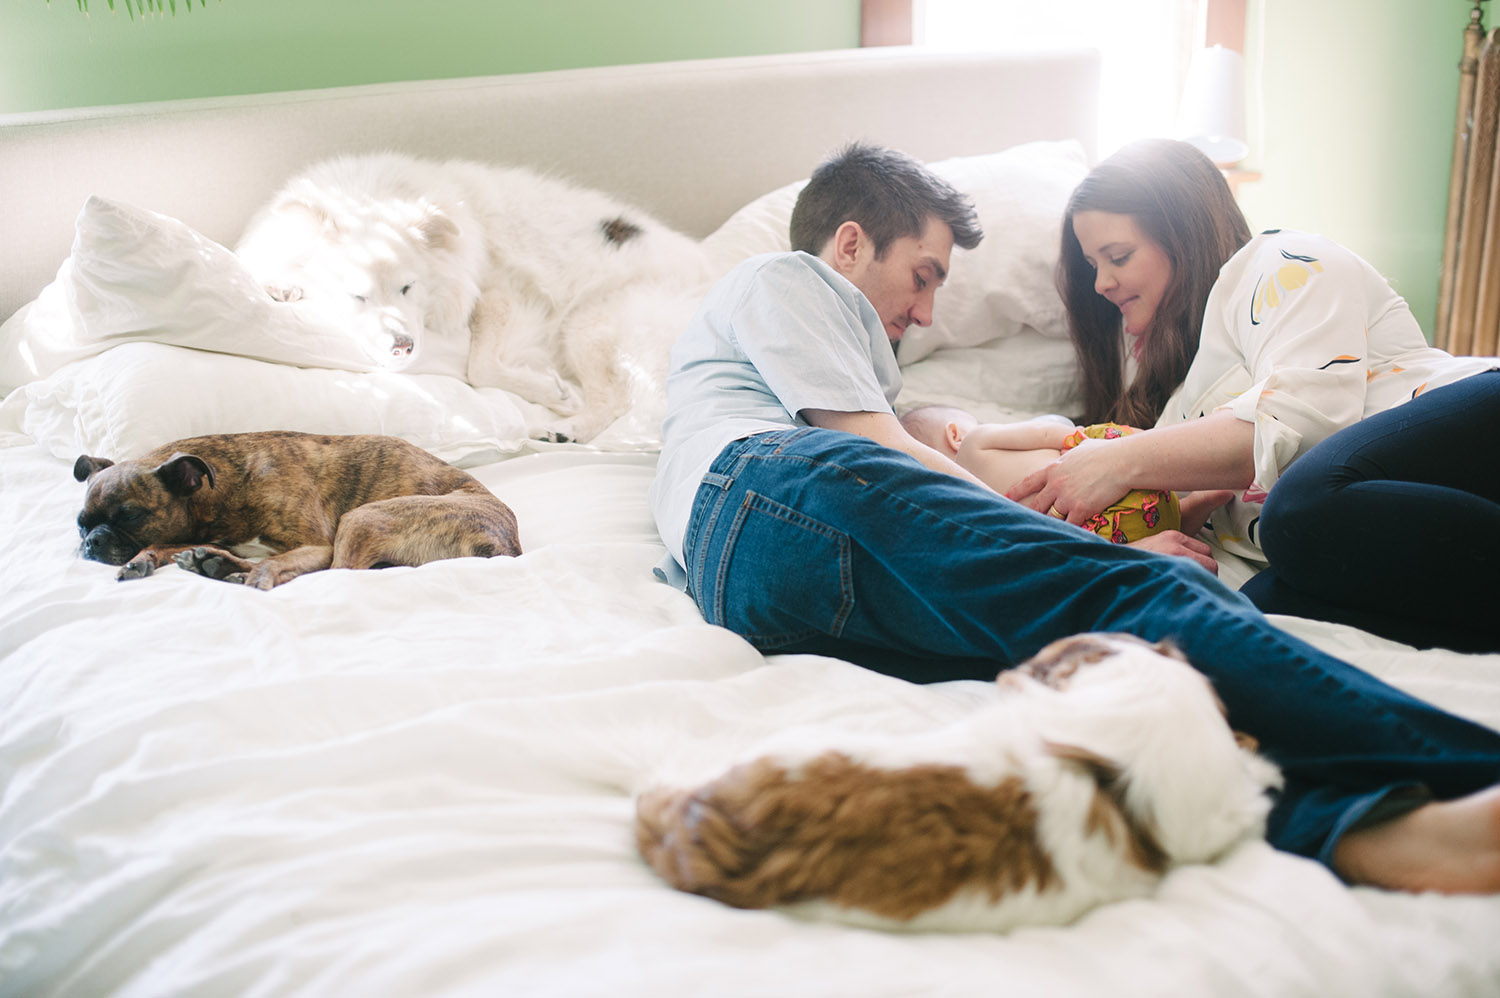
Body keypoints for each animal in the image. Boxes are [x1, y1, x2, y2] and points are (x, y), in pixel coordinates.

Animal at [232, 151, 708, 441]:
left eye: (408, 287)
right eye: (356, 295)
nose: (403, 347)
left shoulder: (502, 296)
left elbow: (480, 368)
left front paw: (552, 394)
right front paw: (280, 286)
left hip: (587, 323)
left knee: (617, 398)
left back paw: (570, 428)